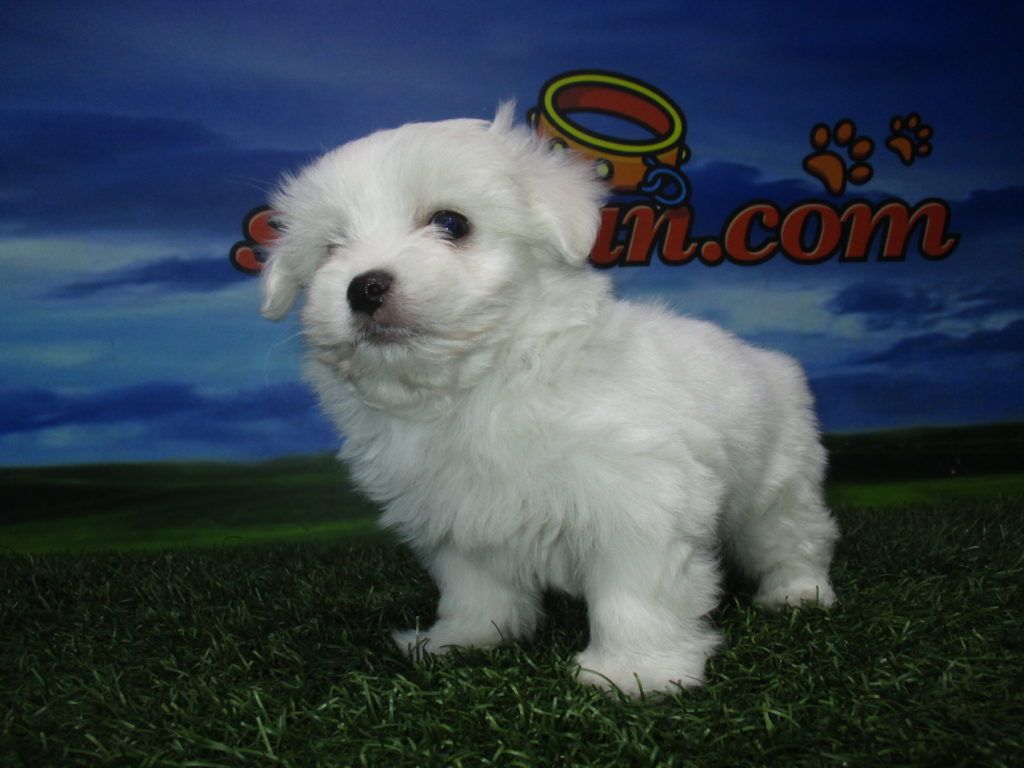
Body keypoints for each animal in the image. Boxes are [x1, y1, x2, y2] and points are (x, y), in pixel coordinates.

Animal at [260, 104, 839, 696]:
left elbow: (636, 590)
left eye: (452, 223)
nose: (364, 286)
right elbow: (474, 587)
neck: (482, 382)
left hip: (778, 484)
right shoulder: (456, 514)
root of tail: (772, 362)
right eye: (331, 250)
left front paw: (635, 670)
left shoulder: (639, 497)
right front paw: (462, 638)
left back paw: (797, 591)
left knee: (794, 537)